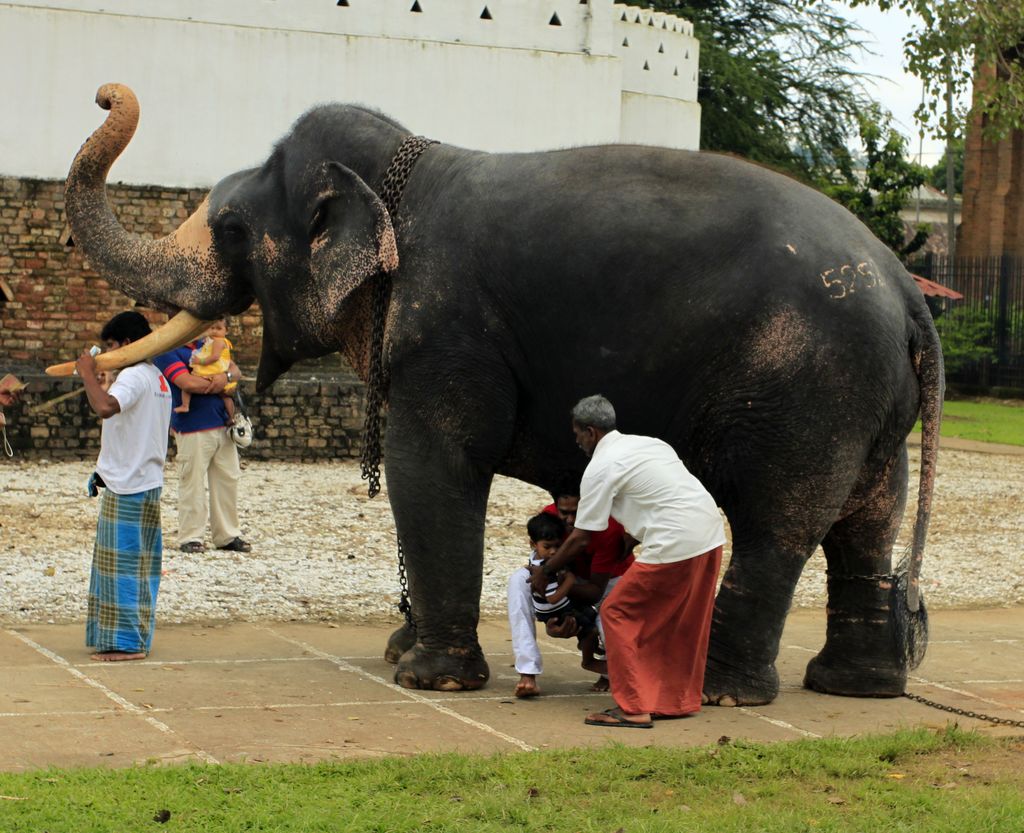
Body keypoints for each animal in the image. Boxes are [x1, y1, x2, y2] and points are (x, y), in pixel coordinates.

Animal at [66, 84, 942, 704]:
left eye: (234, 228)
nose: (106, 93)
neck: (402, 170)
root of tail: (905, 285)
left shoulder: (446, 334)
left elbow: (432, 471)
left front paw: (426, 678)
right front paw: (401, 653)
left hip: (806, 387)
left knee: (778, 522)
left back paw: (723, 692)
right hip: (865, 400)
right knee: (868, 519)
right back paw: (856, 686)